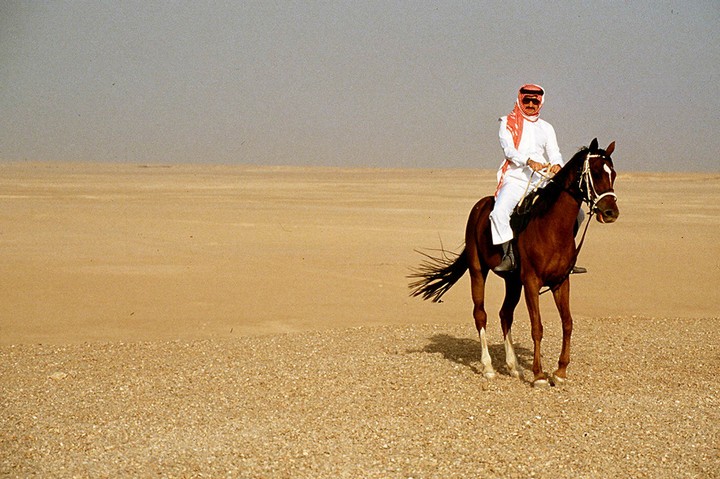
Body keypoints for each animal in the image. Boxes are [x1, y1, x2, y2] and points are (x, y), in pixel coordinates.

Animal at [410, 138, 620, 386]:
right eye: (595, 173)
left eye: (613, 173)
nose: (611, 212)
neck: (551, 228)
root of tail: (480, 207)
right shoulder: (531, 282)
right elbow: (537, 327)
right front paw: (539, 375)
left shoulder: (560, 282)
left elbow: (567, 323)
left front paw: (560, 372)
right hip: (478, 271)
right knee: (480, 314)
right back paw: (488, 367)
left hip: (512, 282)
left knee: (505, 314)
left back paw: (514, 367)